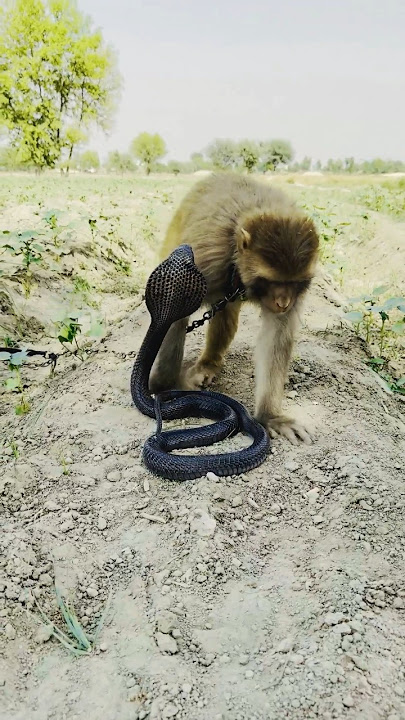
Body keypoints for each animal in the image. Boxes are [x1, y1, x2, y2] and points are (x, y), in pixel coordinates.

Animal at [149, 172, 319, 445]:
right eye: (272, 281)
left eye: (293, 283)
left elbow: (276, 335)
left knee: (225, 316)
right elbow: (173, 310)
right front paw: (164, 387)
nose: (283, 302)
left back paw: (209, 363)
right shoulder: (205, 258)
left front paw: (271, 416)